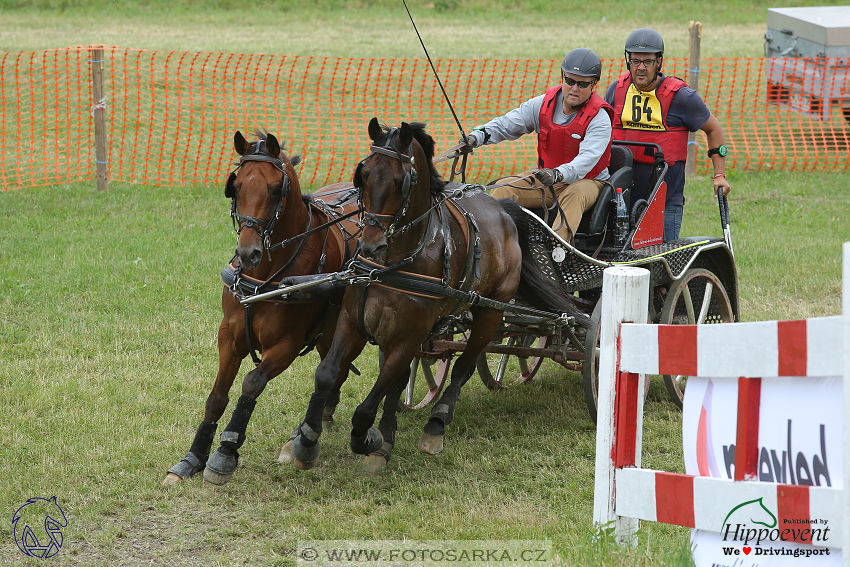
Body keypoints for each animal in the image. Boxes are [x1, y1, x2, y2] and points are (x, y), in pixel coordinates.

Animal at [164, 131, 360, 486]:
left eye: (274, 189)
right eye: (237, 186)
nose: (248, 252)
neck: (265, 274)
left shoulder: (286, 344)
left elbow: (252, 383)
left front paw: (225, 453)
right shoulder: (229, 336)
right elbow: (217, 397)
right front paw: (193, 457)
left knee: (335, 370)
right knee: (334, 371)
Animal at [288, 117, 588, 472]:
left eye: (401, 181)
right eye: (363, 174)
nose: (370, 245)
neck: (394, 263)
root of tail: (503, 209)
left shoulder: (407, 337)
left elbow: (370, 401)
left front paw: (367, 440)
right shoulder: (352, 321)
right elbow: (327, 374)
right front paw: (306, 440)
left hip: (490, 312)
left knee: (464, 367)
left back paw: (436, 424)